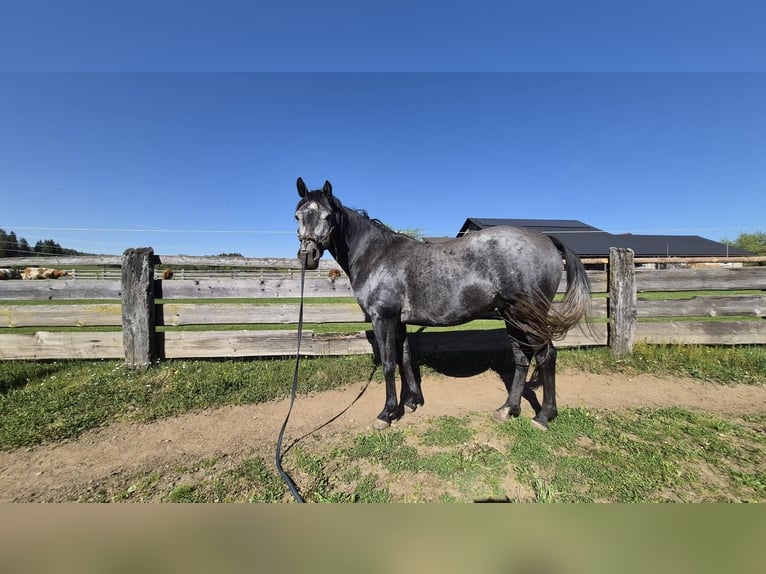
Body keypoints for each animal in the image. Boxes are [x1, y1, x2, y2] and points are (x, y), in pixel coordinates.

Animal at [294, 177, 591, 430]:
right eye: (297, 216)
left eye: (327, 216)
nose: (307, 256)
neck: (377, 255)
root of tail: (547, 239)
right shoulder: (399, 321)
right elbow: (405, 357)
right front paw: (411, 403)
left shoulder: (383, 318)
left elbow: (389, 363)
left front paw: (387, 413)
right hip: (512, 316)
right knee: (521, 358)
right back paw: (508, 409)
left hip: (530, 316)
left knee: (546, 356)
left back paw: (543, 416)